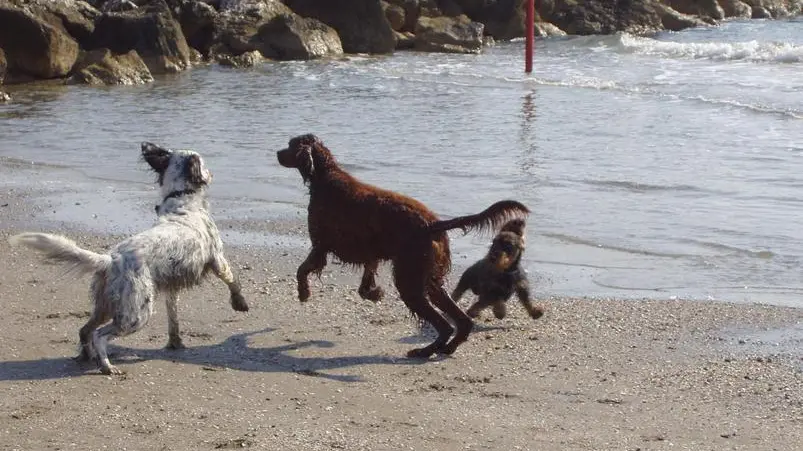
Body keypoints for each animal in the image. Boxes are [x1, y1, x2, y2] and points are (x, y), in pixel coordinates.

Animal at [8, 141, 248, 374]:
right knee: (99, 335)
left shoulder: (171, 286)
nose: (212, 173)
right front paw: (240, 304)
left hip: (106, 307)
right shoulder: (218, 259)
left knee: (84, 330)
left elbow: (173, 318)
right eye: (203, 164)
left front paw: (176, 343)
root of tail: (110, 260)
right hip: (136, 314)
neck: (182, 200)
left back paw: (87, 357)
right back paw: (106, 366)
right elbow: (233, 281)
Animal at [276, 134, 532, 360]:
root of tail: (432, 224)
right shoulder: (371, 253)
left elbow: (302, 270)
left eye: (290, 145)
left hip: (410, 281)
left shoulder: (321, 245)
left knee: (444, 325)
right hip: (428, 281)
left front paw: (303, 293)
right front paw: (374, 293)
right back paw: (446, 348)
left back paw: (424, 351)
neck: (325, 176)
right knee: (462, 322)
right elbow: (365, 282)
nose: (277, 153)